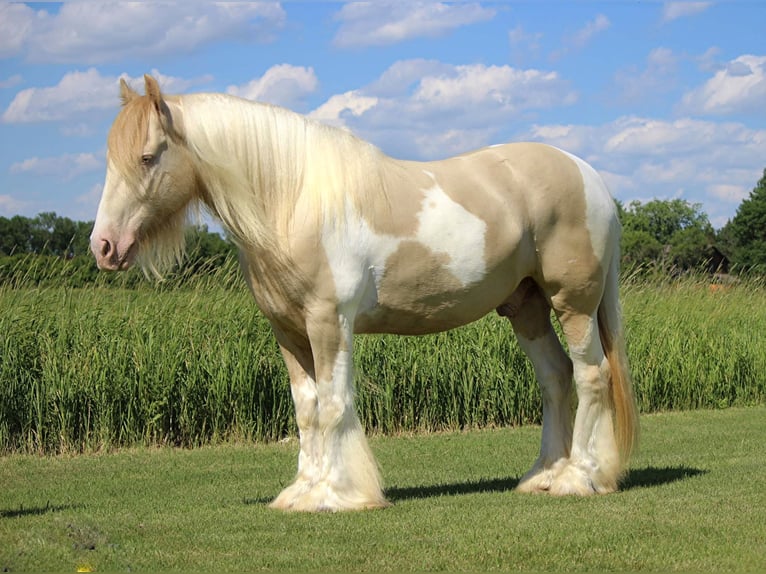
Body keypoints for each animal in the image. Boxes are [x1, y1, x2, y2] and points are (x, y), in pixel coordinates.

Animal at [91, 75, 640, 512]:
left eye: (146, 157)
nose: (104, 246)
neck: (293, 201)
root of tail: (587, 175)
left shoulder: (329, 322)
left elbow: (334, 404)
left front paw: (340, 495)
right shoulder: (288, 332)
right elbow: (306, 409)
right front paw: (301, 493)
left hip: (574, 304)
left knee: (591, 375)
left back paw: (579, 478)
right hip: (526, 307)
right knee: (555, 378)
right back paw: (543, 476)